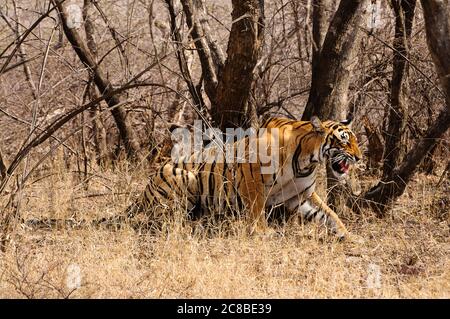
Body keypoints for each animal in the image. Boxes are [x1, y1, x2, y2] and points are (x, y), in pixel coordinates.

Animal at [125, 116, 362, 241]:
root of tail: (143, 192)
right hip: (184, 177)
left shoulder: (301, 195)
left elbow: (330, 214)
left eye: (356, 141)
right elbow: (256, 209)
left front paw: (348, 234)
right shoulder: (251, 176)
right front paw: (262, 232)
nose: (359, 157)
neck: (306, 161)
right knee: (162, 220)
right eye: (344, 140)